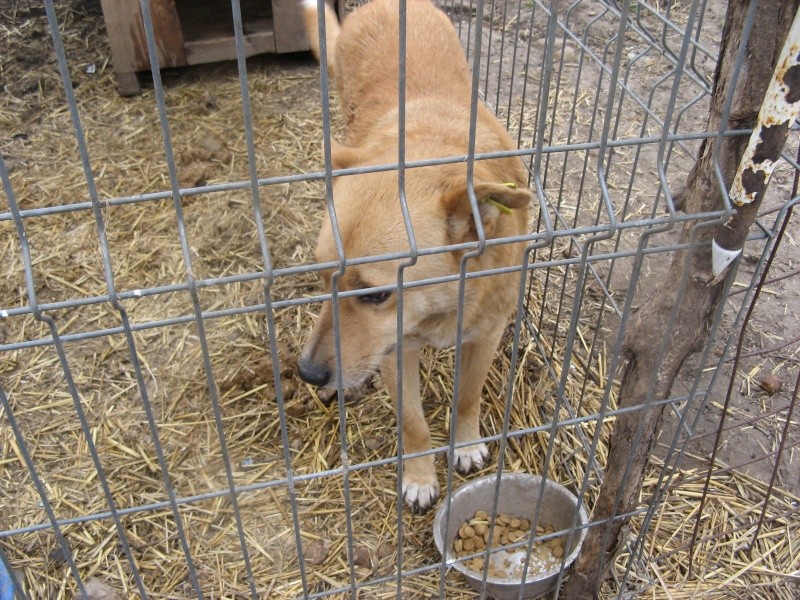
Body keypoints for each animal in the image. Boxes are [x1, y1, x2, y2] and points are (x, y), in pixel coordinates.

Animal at [298, 0, 532, 516]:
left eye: (376, 294)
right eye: (322, 277)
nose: (306, 373)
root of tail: (380, 5)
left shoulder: (486, 333)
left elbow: (467, 396)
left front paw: (465, 443)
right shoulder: (395, 352)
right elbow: (412, 422)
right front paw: (420, 477)